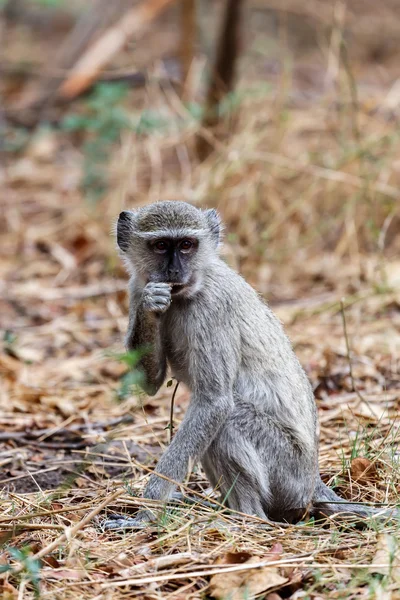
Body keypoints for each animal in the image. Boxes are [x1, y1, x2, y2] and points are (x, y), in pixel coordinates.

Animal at [104, 202, 386, 528]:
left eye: (187, 245)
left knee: (229, 418)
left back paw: (245, 518)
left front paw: (146, 512)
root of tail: (312, 481)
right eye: (161, 245)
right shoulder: (136, 287)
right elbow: (151, 382)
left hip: (286, 471)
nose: (174, 271)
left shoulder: (211, 308)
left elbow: (214, 402)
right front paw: (152, 303)